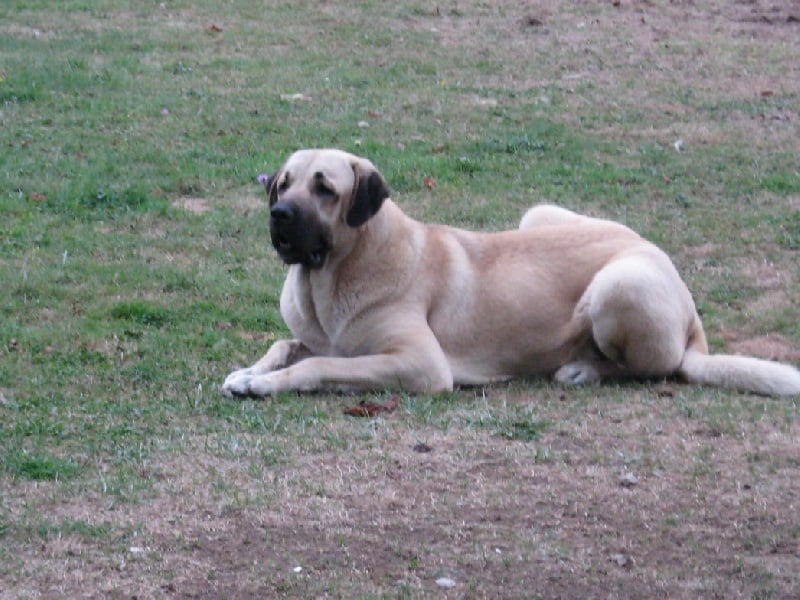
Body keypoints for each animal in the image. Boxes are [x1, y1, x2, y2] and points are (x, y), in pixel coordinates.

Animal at [221, 149, 800, 397]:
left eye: (325, 188)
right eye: (283, 183)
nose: (279, 215)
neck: (331, 277)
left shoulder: (421, 366)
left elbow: (318, 365)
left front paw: (265, 383)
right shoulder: (314, 335)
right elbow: (285, 345)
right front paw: (250, 371)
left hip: (620, 285)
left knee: (660, 367)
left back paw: (582, 370)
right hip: (538, 214)